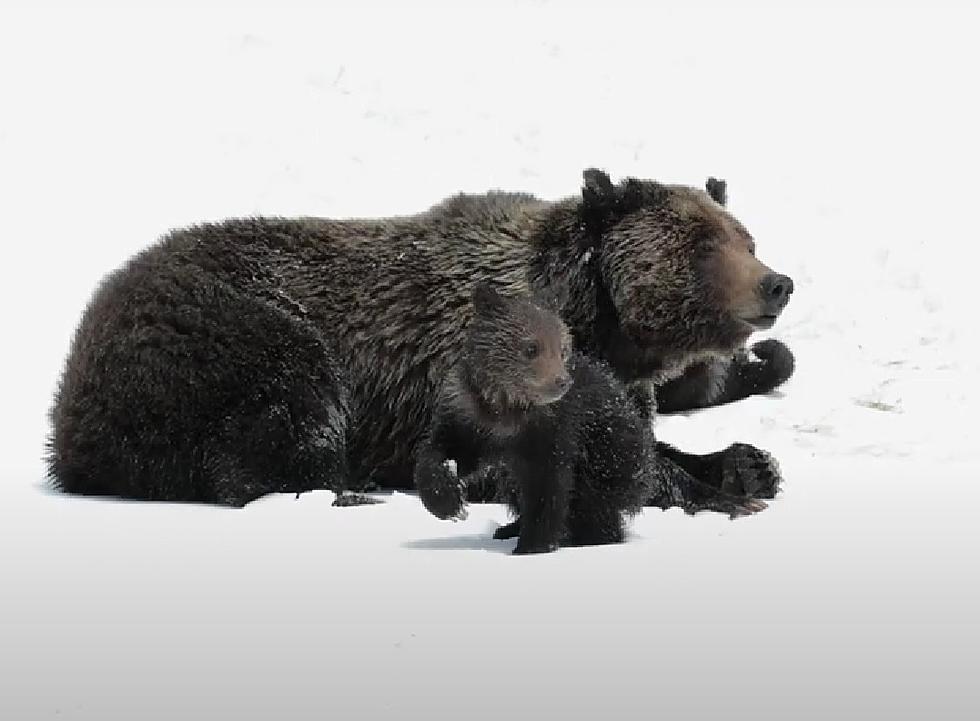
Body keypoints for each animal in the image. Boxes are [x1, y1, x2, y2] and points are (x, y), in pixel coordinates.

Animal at [47, 169, 796, 510]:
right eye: (703, 244)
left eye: (746, 239)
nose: (776, 283)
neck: (596, 327)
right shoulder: (468, 376)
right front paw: (719, 490)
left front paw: (744, 463)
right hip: (232, 334)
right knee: (287, 412)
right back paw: (351, 483)